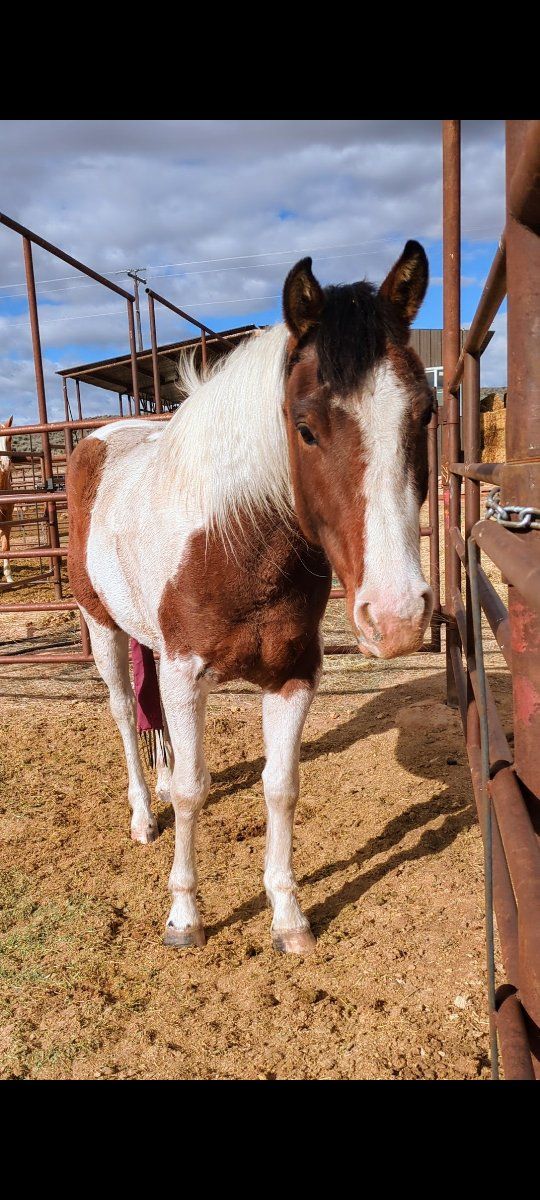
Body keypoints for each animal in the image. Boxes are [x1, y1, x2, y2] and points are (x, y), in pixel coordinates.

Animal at [67, 241, 434, 954]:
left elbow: (281, 787)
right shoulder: (187, 673)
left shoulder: (294, 675)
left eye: (425, 413)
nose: (398, 616)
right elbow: (193, 792)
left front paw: (289, 916)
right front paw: (184, 916)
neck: (235, 540)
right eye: (305, 427)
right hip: (103, 626)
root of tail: (99, 437)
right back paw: (142, 814)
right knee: (125, 711)